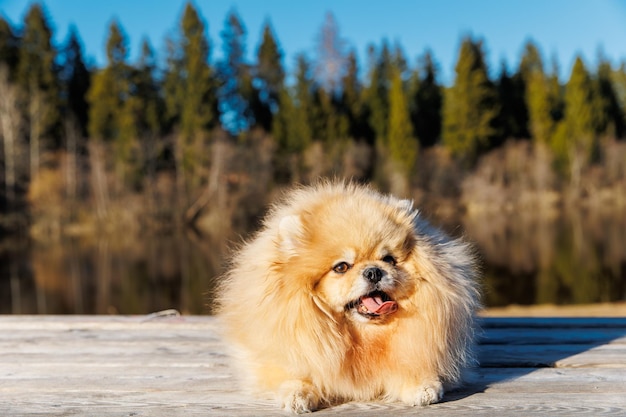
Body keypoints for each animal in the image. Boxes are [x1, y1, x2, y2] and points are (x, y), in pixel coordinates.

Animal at [214, 180, 478, 412]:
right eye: (341, 267)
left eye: (389, 259)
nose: (373, 271)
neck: (361, 336)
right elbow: (295, 373)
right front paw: (297, 393)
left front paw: (420, 385)